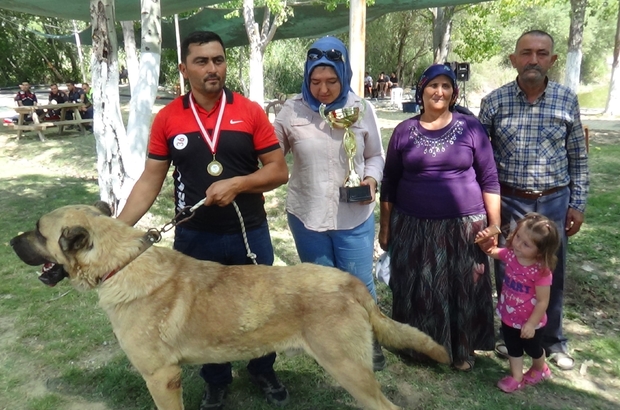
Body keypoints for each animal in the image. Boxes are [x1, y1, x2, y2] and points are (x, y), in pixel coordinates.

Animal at [10, 203, 450, 410]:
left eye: (38, 231)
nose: (10, 241)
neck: (122, 263)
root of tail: (351, 282)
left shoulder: (161, 378)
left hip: (348, 370)